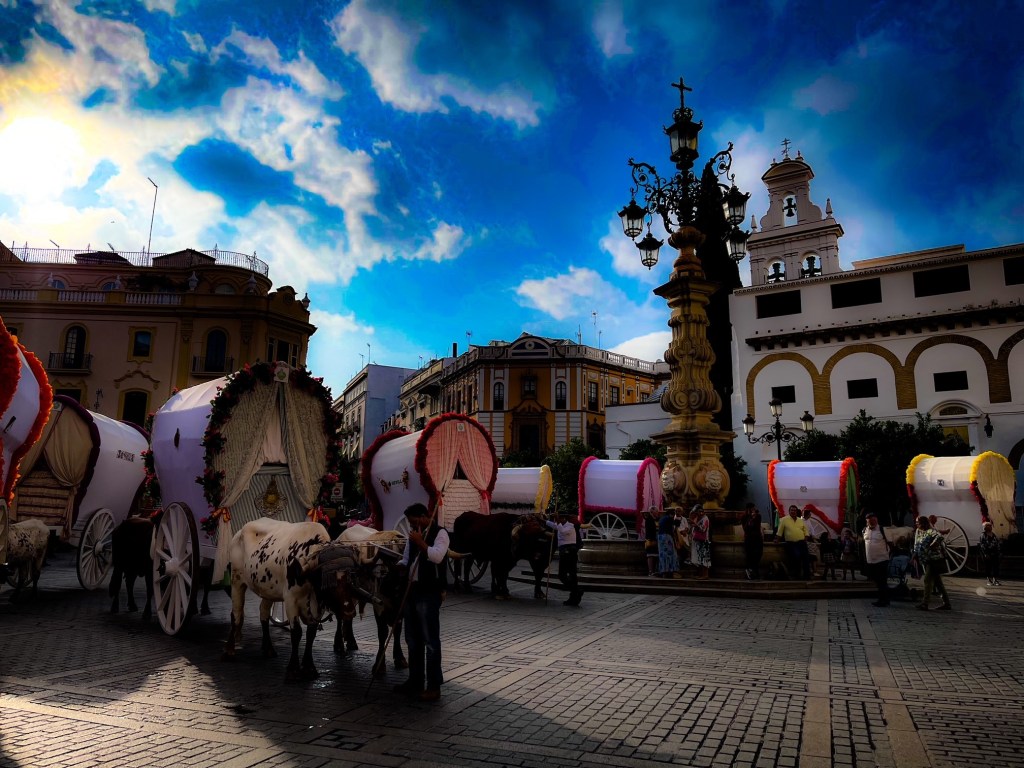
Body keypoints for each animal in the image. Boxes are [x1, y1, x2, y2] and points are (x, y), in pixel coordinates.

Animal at [222, 519, 357, 681]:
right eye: (329, 582)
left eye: (351, 578)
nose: (349, 611)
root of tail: (239, 532)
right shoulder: (291, 599)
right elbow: (297, 632)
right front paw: (293, 670)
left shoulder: (318, 606)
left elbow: (311, 633)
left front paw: (309, 668)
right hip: (237, 580)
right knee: (236, 614)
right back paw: (229, 650)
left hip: (268, 590)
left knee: (263, 613)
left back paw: (268, 648)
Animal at [333, 525, 408, 676]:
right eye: (381, 557)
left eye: (394, 555)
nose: (381, 573)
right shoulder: (378, 604)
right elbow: (383, 632)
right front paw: (379, 665)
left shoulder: (400, 606)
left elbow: (397, 630)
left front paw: (400, 658)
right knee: (340, 616)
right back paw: (338, 643)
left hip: (355, 593)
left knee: (349, 616)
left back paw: (351, 641)